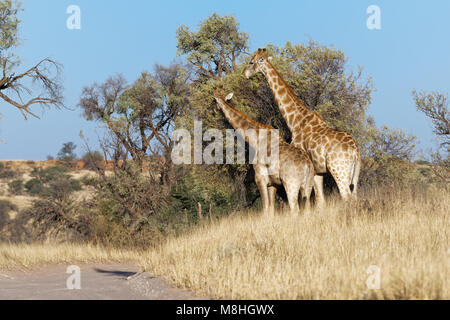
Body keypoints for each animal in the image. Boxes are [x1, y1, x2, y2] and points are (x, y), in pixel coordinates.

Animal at [244, 48, 360, 204]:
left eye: (252, 62)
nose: (245, 73)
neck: (295, 120)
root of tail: (355, 151)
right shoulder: (318, 170)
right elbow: (319, 200)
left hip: (339, 170)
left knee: (346, 196)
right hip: (354, 175)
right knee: (354, 196)